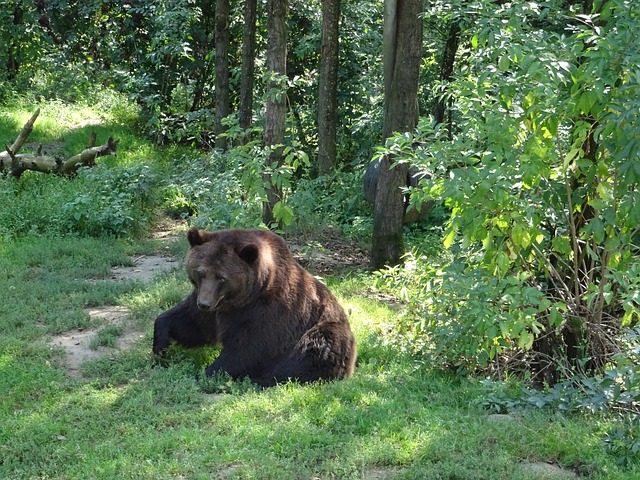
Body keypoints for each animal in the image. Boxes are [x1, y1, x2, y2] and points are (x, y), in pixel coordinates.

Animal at [153, 227, 358, 388]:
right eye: (200, 272)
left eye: (221, 277)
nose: (204, 303)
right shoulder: (211, 306)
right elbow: (190, 323)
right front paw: (160, 351)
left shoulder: (266, 312)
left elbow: (247, 349)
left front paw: (205, 373)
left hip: (326, 330)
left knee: (315, 349)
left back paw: (262, 379)